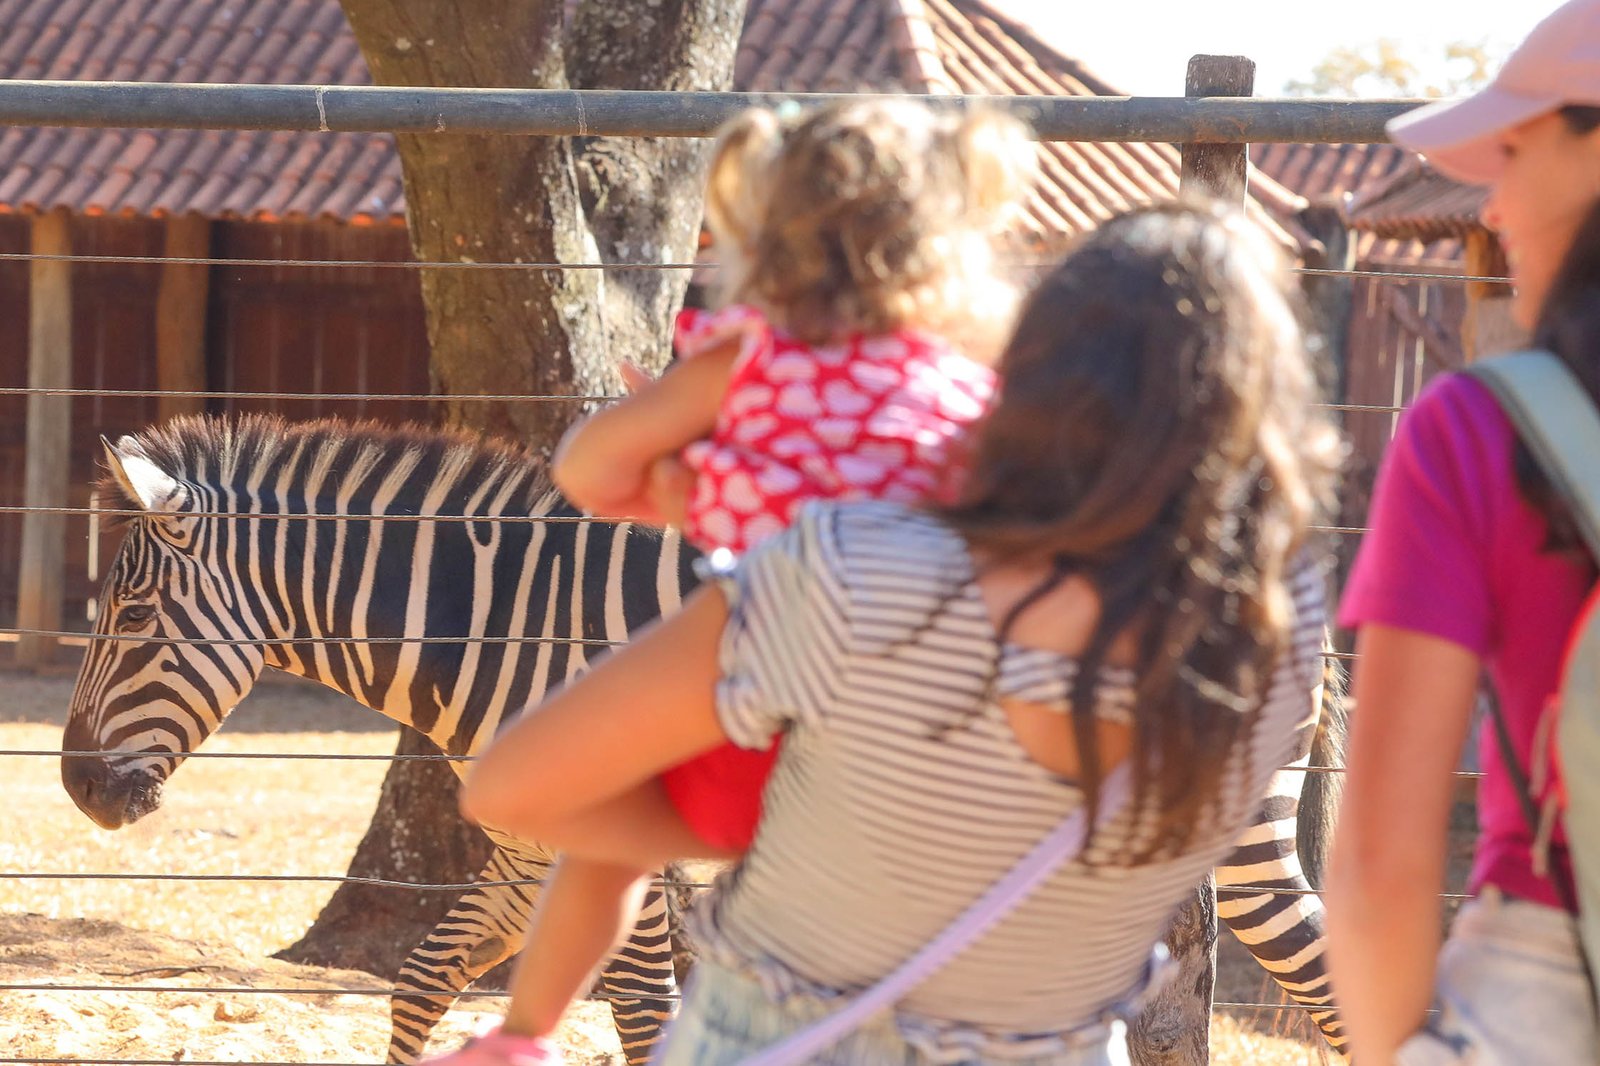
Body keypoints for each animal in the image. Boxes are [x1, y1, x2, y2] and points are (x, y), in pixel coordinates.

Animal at [56, 409, 1350, 1056]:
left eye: (130, 620)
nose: (73, 792)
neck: (514, 631)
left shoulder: (627, 848)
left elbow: (640, 1015)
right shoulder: (530, 854)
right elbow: (422, 984)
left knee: (1321, 972)